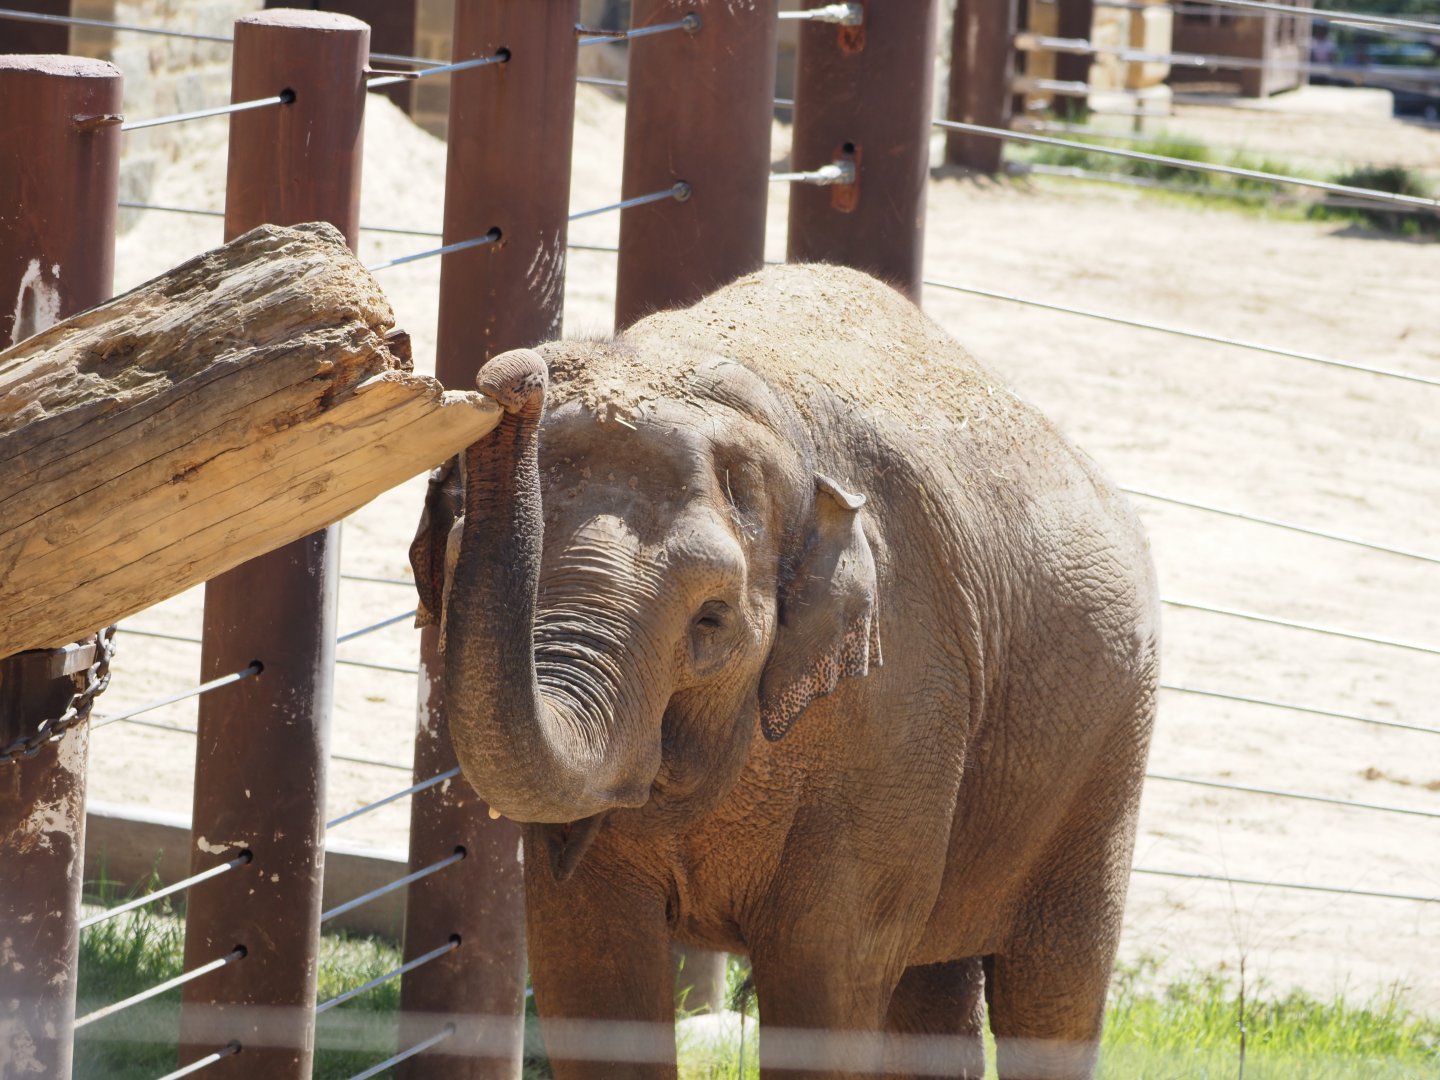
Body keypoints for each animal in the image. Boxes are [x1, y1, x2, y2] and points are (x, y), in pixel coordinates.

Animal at [410, 263, 1159, 1079]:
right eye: (453, 572)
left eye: (711, 621)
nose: (516, 378)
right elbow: (589, 969)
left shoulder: (901, 707)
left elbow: (826, 976)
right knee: (933, 989)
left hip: (1109, 755)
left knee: (1053, 994)